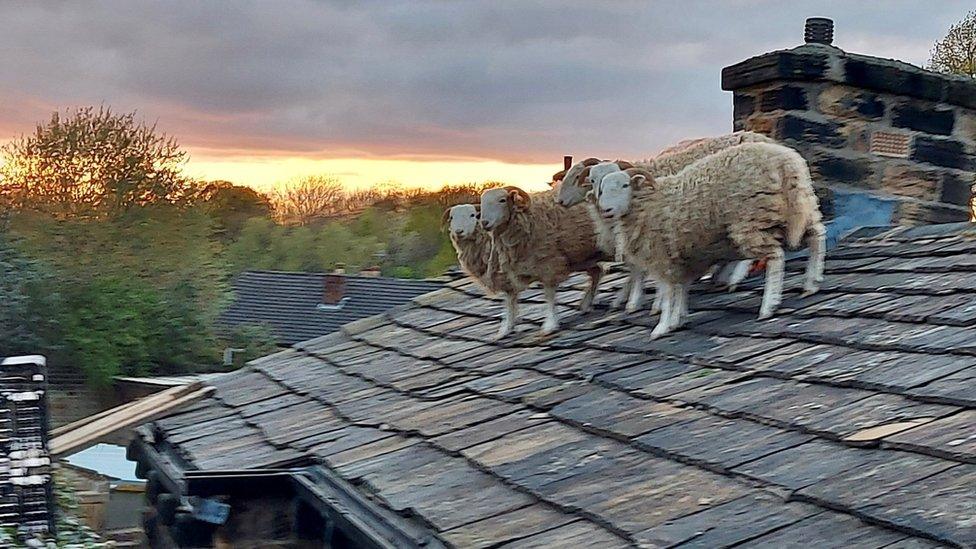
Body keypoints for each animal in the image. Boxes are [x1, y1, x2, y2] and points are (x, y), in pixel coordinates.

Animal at [442, 203, 520, 336]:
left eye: (472, 215)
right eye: (451, 217)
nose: (459, 231)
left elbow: (509, 302)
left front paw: (506, 329)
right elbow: (510, 300)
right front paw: (508, 328)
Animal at [478, 186, 608, 336]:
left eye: (502, 200)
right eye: (482, 203)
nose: (484, 223)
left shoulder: (549, 264)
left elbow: (549, 295)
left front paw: (550, 324)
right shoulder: (515, 271)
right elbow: (510, 299)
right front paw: (506, 328)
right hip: (582, 257)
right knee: (597, 272)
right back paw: (586, 304)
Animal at [600, 141, 828, 338]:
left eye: (624, 185)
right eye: (601, 189)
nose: (605, 210)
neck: (647, 202)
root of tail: (784, 160)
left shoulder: (663, 256)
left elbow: (668, 293)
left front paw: (662, 327)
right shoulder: (682, 258)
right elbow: (680, 290)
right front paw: (677, 320)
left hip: (751, 219)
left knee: (775, 256)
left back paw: (768, 306)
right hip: (798, 207)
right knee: (817, 235)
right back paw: (812, 283)